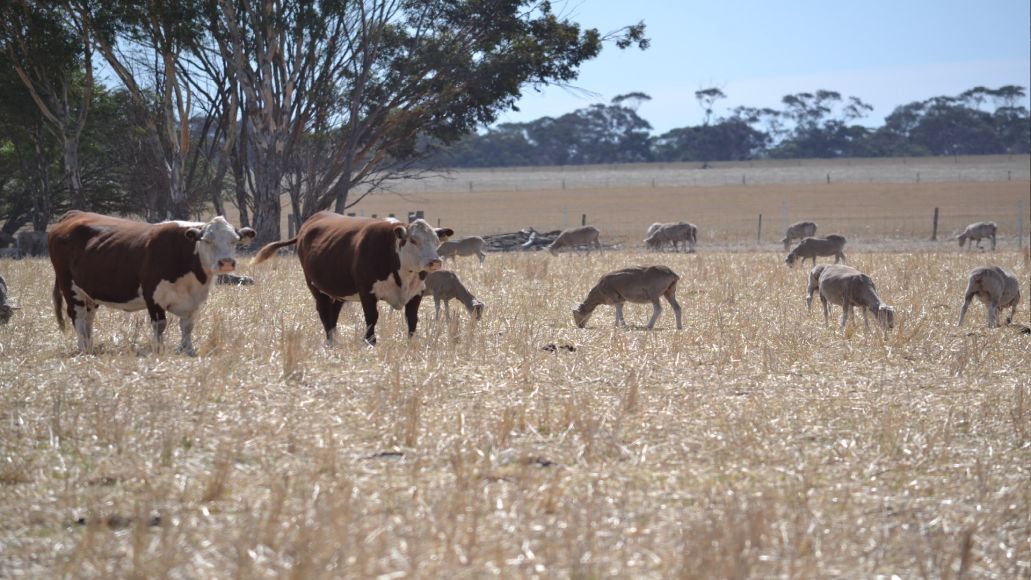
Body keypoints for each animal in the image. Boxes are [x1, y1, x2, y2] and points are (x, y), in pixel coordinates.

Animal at [48, 211, 256, 354]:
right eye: (206, 240)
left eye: (235, 240)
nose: (226, 262)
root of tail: (74, 214)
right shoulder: (153, 297)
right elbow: (160, 325)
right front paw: (159, 349)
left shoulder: (194, 301)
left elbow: (187, 326)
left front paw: (187, 349)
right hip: (69, 286)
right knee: (78, 315)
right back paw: (83, 348)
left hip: (89, 292)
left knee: (88, 317)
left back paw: (90, 345)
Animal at [252, 212, 452, 345]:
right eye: (414, 240)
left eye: (437, 241)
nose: (435, 261)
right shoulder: (367, 292)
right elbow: (372, 317)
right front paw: (370, 342)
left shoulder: (416, 292)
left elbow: (412, 319)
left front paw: (411, 344)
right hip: (315, 287)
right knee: (324, 313)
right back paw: (330, 342)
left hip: (338, 291)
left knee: (333, 314)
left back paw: (335, 339)